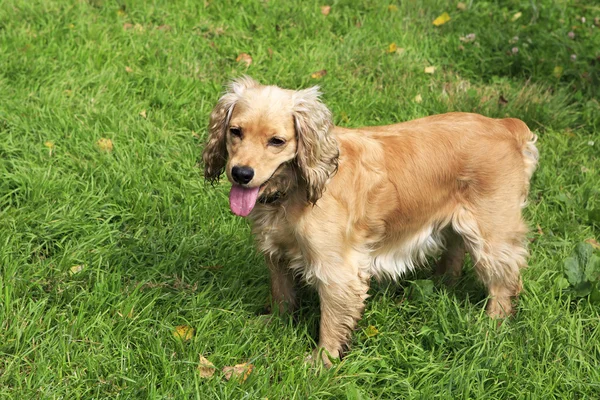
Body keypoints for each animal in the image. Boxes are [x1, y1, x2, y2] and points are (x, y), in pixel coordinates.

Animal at [202, 76, 540, 368]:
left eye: (277, 141)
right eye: (235, 132)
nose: (241, 173)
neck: (295, 188)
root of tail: (506, 126)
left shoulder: (337, 271)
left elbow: (330, 322)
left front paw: (321, 362)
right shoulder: (277, 253)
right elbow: (282, 294)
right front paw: (275, 324)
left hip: (491, 235)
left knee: (504, 282)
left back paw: (492, 325)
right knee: (455, 254)